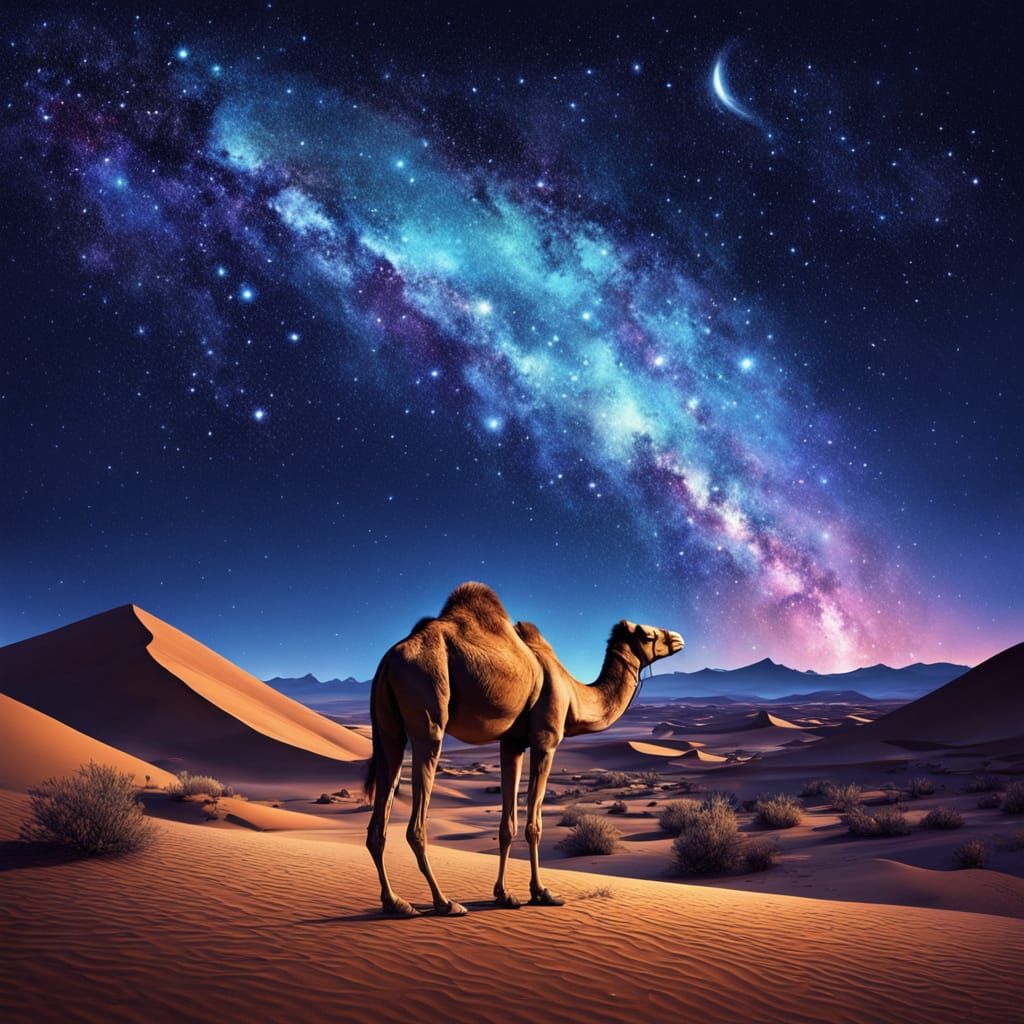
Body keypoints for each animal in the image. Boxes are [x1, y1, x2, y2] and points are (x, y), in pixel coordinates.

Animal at [364, 581, 684, 916]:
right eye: (648, 634)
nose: (677, 638)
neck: (573, 694)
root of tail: (388, 660)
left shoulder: (512, 743)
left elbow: (508, 825)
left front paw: (504, 895)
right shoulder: (546, 739)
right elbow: (534, 824)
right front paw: (542, 892)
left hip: (388, 728)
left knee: (379, 815)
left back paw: (395, 902)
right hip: (428, 698)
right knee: (416, 821)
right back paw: (445, 902)